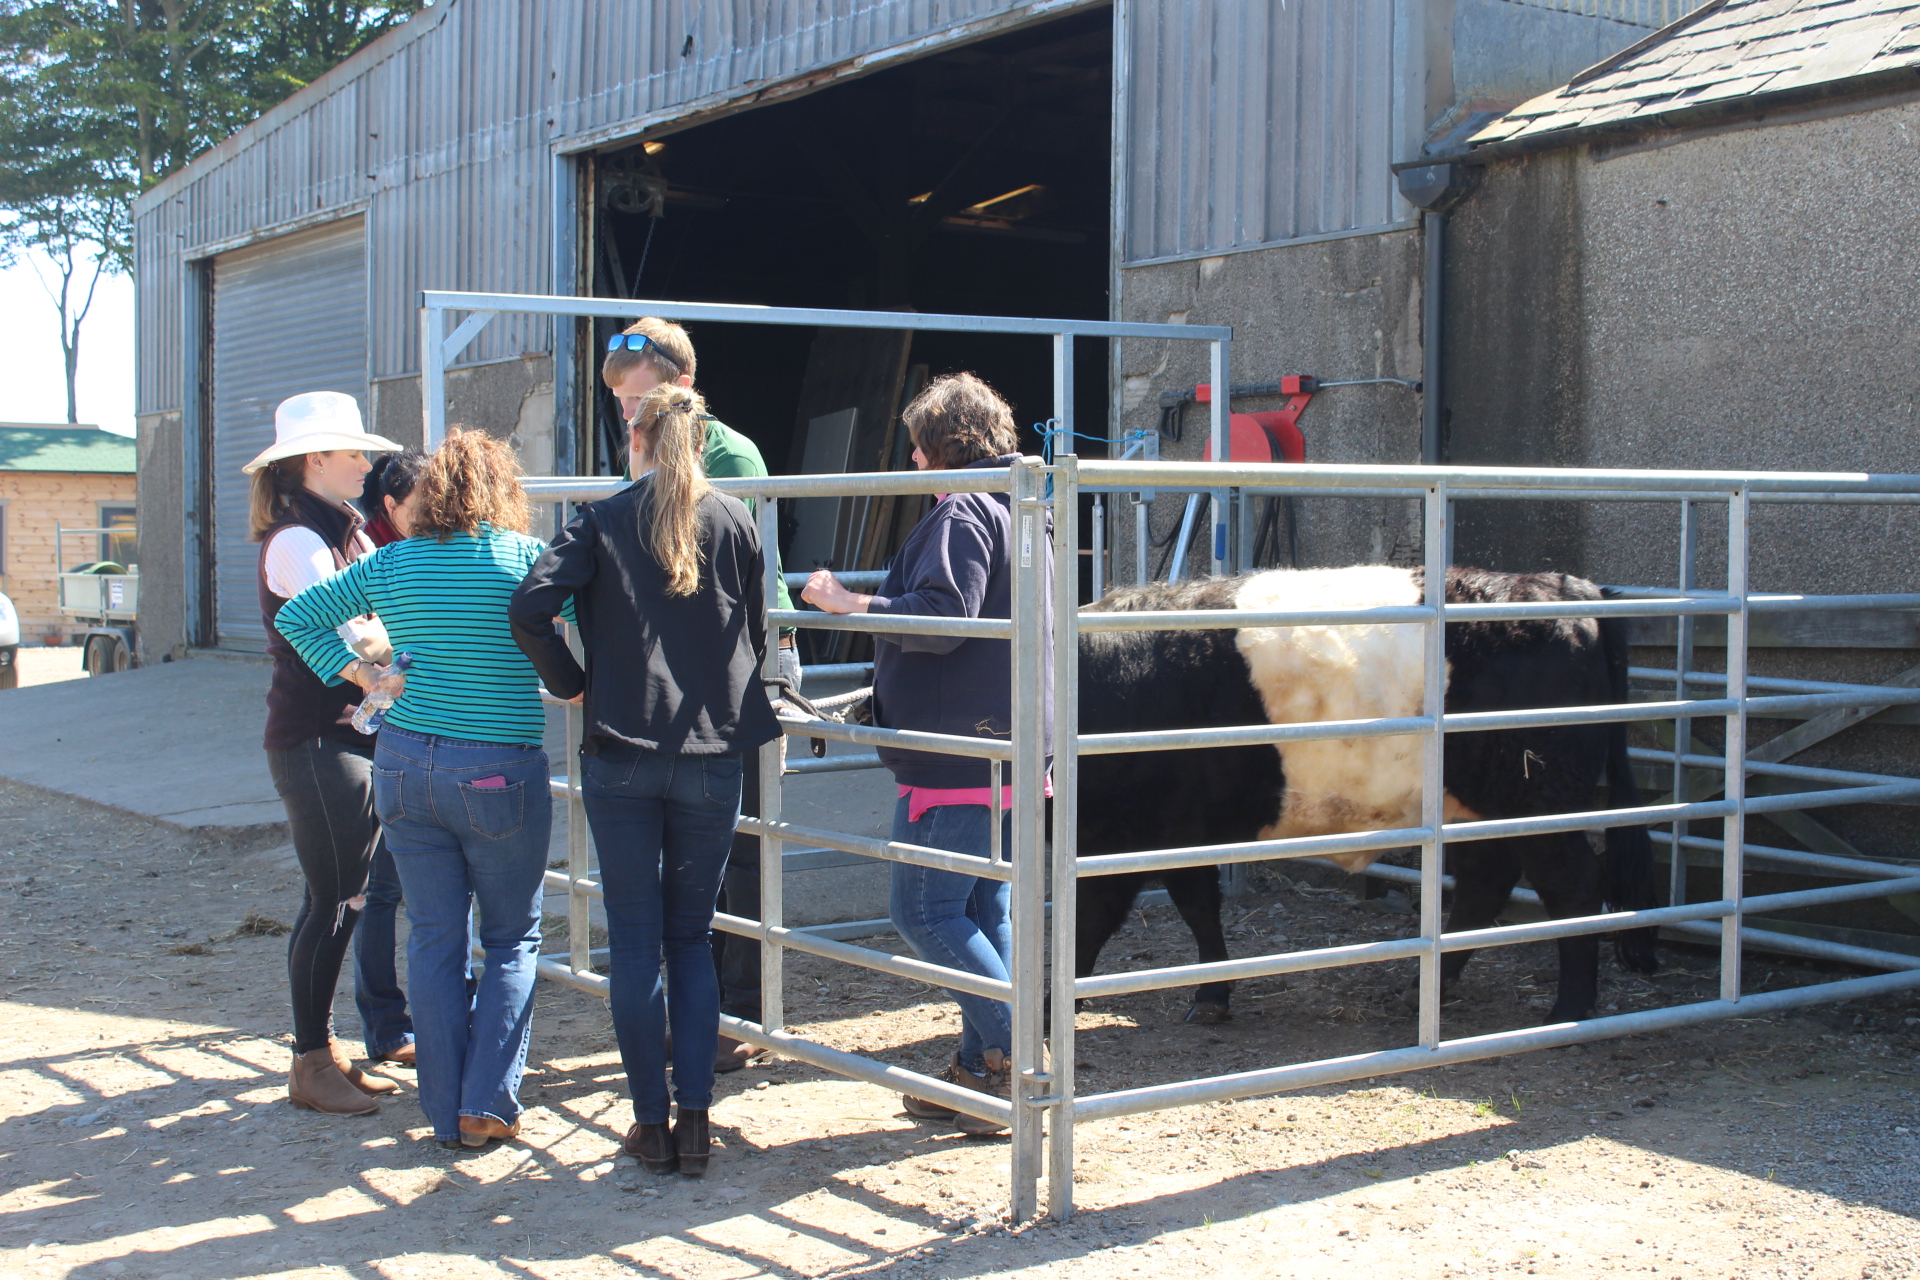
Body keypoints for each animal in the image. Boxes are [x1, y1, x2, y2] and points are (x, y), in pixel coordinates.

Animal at [1072, 565, 1660, 1026]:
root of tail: (1573, 589)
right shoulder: (1176, 835)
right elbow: (1196, 908)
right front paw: (1212, 995)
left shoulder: (1131, 835)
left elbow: (1098, 917)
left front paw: (1065, 999)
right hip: (1477, 807)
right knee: (1484, 885)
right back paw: (1426, 992)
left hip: (1539, 799)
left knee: (1573, 886)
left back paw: (1569, 1008)